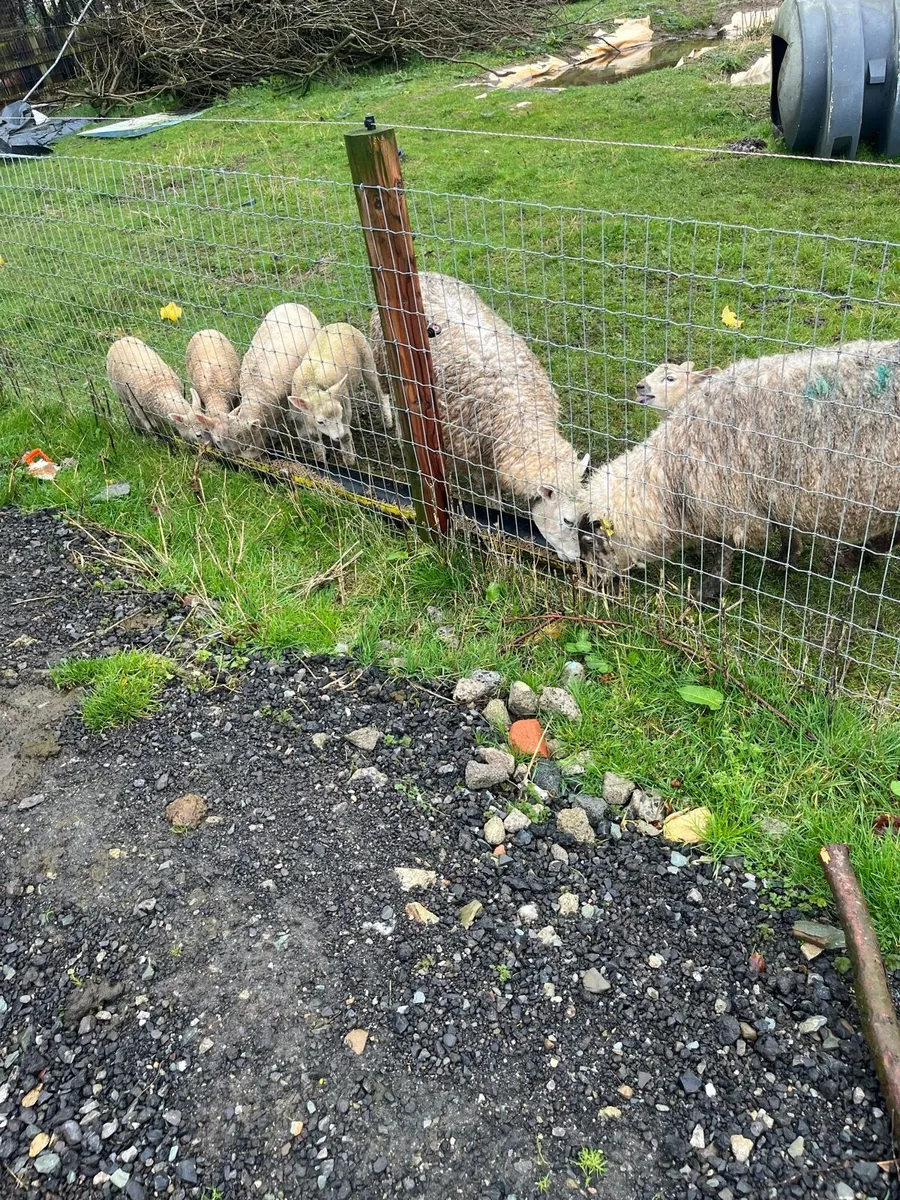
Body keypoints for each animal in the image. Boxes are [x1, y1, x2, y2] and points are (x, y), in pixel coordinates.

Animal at [286, 322, 393, 468]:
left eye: (340, 412)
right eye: (321, 421)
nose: (338, 435)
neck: (313, 384)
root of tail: (340, 323)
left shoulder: (345, 406)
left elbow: (346, 435)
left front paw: (349, 461)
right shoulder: (306, 416)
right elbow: (314, 438)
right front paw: (321, 461)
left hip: (368, 362)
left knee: (381, 393)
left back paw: (388, 420)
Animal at [369, 272, 589, 562]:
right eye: (567, 520)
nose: (575, 558)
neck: (521, 416)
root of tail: (422, 274)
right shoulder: (472, 457)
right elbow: (485, 494)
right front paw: (493, 516)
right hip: (384, 362)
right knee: (387, 394)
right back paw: (392, 425)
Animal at [579, 338, 900, 599]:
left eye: (590, 543)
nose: (589, 584)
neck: (672, 470)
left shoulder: (731, 498)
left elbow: (726, 548)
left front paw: (709, 591)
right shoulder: (774, 493)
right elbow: (787, 528)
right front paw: (788, 559)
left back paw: (858, 556)